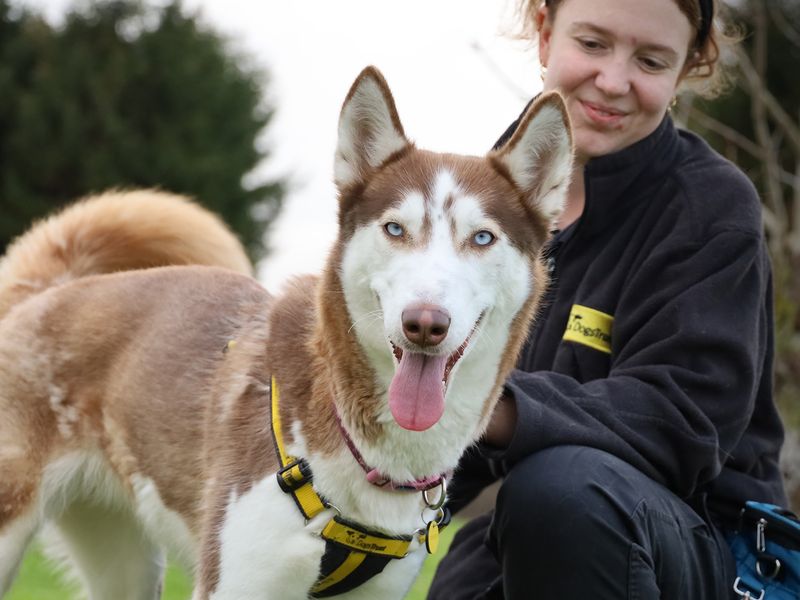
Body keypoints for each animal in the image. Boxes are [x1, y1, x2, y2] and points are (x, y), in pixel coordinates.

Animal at [1, 67, 576, 600]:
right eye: (395, 228)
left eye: (481, 238)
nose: (425, 323)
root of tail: (45, 292)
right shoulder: (234, 584)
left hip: (125, 565)